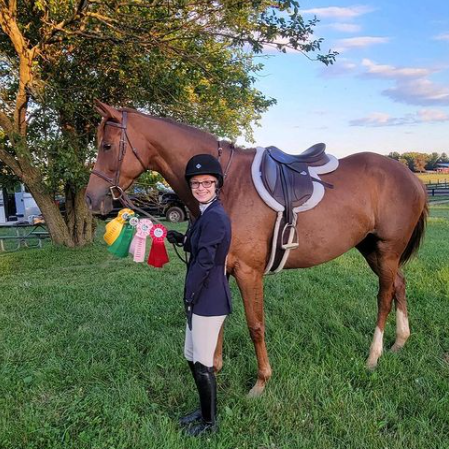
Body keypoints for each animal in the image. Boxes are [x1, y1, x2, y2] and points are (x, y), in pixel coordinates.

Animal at [85, 101, 428, 396]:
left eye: (107, 146)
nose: (91, 199)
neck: (226, 186)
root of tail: (409, 176)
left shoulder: (248, 272)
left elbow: (255, 325)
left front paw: (261, 382)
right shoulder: (219, 267)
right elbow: (217, 317)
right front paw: (215, 368)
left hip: (387, 250)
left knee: (384, 296)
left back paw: (373, 356)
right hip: (371, 249)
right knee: (399, 284)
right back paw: (400, 342)